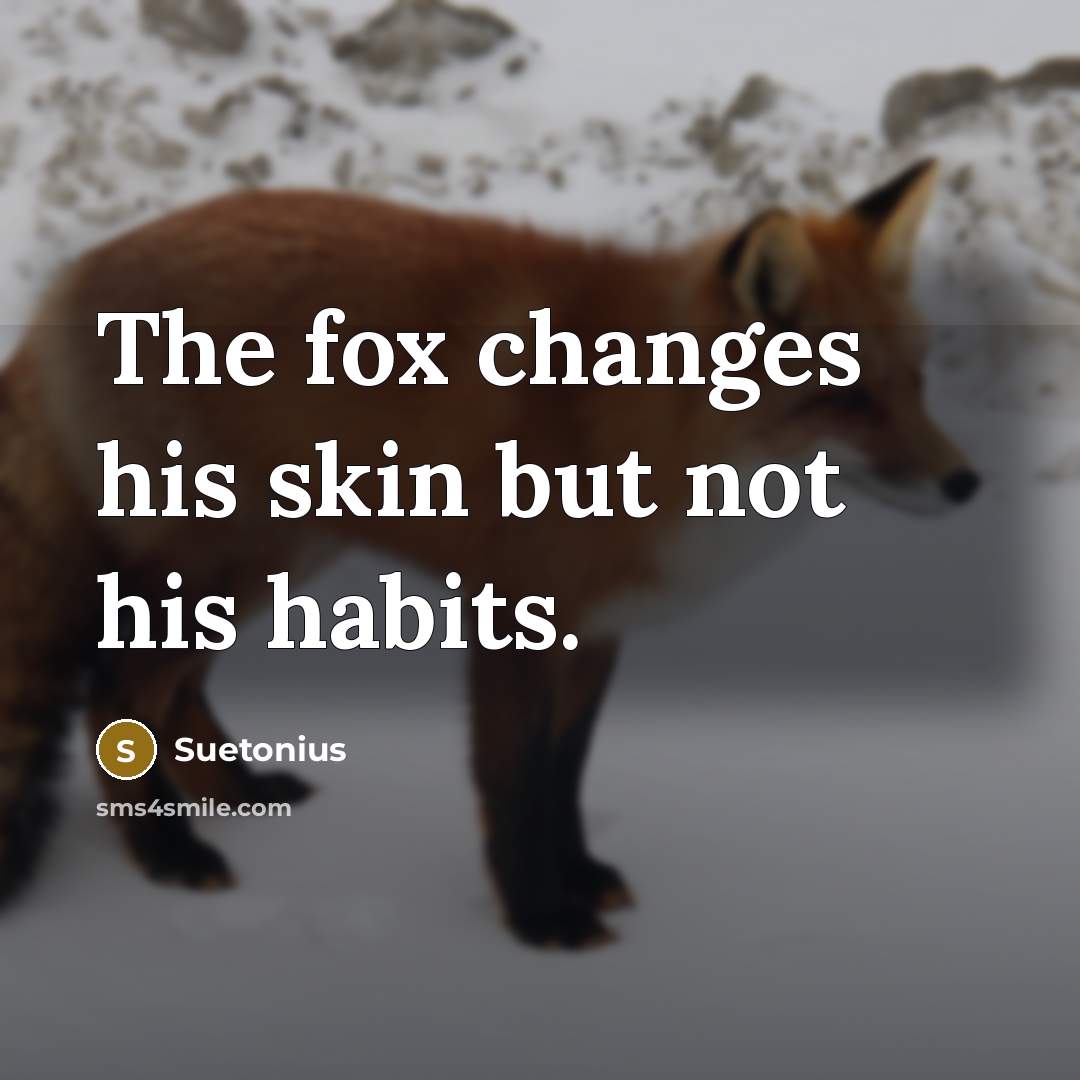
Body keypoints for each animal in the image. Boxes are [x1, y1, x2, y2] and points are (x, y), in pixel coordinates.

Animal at [0, 158, 979, 947]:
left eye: (917, 381)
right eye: (846, 396)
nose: (968, 483)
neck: (639, 422)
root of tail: (71, 277)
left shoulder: (597, 630)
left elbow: (564, 776)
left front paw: (577, 876)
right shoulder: (514, 618)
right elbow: (511, 781)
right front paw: (539, 919)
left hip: (274, 559)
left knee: (175, 693)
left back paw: (234, 793)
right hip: (225, 557)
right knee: (115, 692)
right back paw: (168, 851)